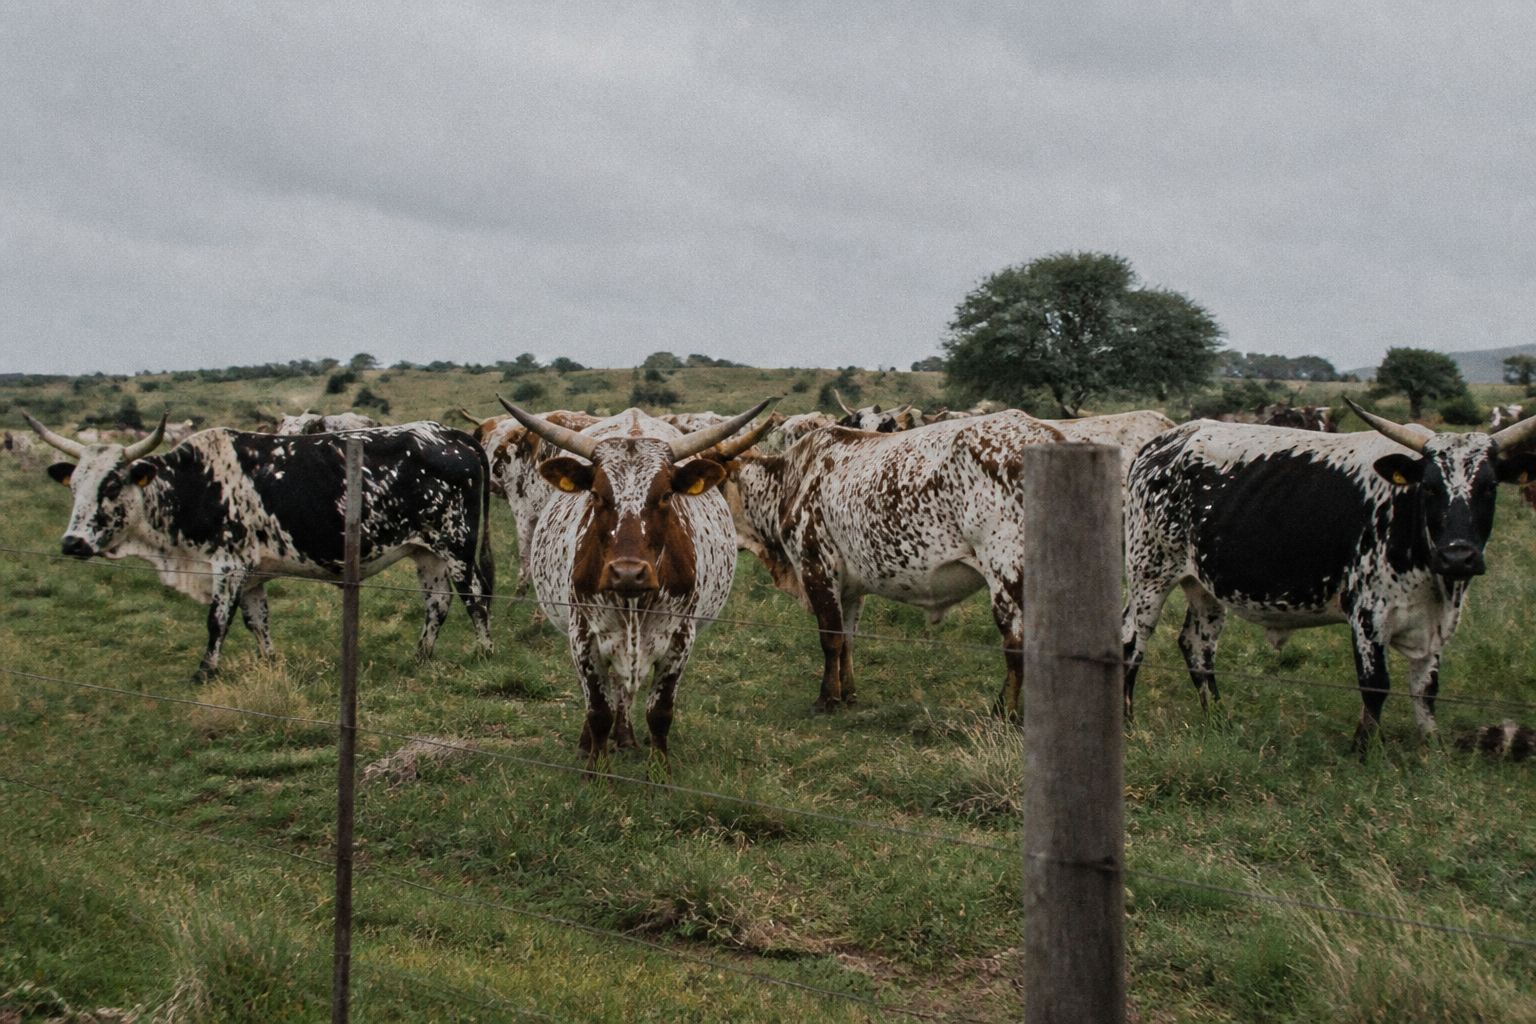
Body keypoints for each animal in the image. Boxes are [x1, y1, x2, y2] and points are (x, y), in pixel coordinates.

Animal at [25, 412, 495, 682]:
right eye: (75, 486)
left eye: (111, 485)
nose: (72, 543)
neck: (194, 483)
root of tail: (453, 435)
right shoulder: (251, 574)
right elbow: (257, 621)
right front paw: (268, 662)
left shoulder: (228, 565)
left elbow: (218, 621)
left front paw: (204, 673)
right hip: (426, 551)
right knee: (437, 603)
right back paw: (420, 657)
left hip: (456, 544)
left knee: (475, 597)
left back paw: (484, 653)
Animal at [496, 400, 775, 770]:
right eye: (596, 494)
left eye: (667, 495)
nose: (627, 573)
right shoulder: (582, 636)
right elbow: (598, 711)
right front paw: (596, 770)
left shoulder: (680, 640)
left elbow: (660, 714)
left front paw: (659, 773)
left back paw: (626, 738)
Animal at [717, 411, 1067, 718]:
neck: (792, 480)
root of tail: (1050, 436)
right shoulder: (850, 586)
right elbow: (847, 640)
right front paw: (848, 695)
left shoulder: (816, 567)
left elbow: (830, 640)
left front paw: (825, 700)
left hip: (1006, 571)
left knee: (1016, 644)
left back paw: (1004, 715)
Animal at [1121, 399, 1536, 749]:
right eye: (1431, 488)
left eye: (1489, 487)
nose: (1457, 557)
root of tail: (1165, 441)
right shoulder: (1369, 613)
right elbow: (1376, 686)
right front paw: (1364, 751)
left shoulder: (1435, 624)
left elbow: (1426, 688)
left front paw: (1431, 749)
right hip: (1149, 572)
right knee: (1131, 640)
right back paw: (1127, 723)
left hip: (1203, 583)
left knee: (1197, 645)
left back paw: (1219, 721)